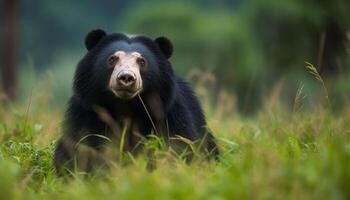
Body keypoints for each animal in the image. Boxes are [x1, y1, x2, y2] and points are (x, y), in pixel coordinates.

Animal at [54, 28, 219, 173]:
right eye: (112, 59)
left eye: (142, 61)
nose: (126, 77)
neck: (126, 106)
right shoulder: (86, 112)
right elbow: (81, 145)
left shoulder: (169, 114)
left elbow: (178, 145)